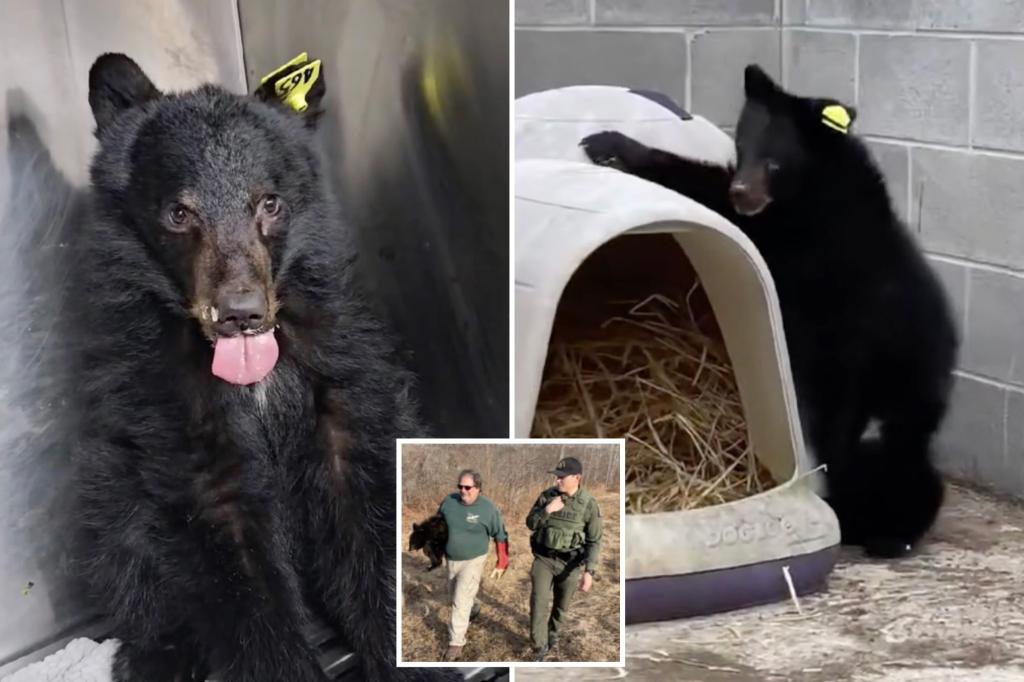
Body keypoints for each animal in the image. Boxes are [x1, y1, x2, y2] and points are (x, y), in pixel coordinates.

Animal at [70, 53, 458, 681]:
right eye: (178, 212)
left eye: (269, 203)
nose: (241, 315)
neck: (253, 378)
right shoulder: (173, 416)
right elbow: (232, 564)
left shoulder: (343, 379)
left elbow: (367, 517)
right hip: (112, 485)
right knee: (126, 557)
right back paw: (157, 656)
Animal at [581, 64, 958, 559]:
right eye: (742, 148)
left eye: (774, 161)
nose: (742, 190)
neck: (813, 188)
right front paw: (605, 141)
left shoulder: (809, 242)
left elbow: (715, 198)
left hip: (891, 398)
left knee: (897, 466)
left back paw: (888, 531)